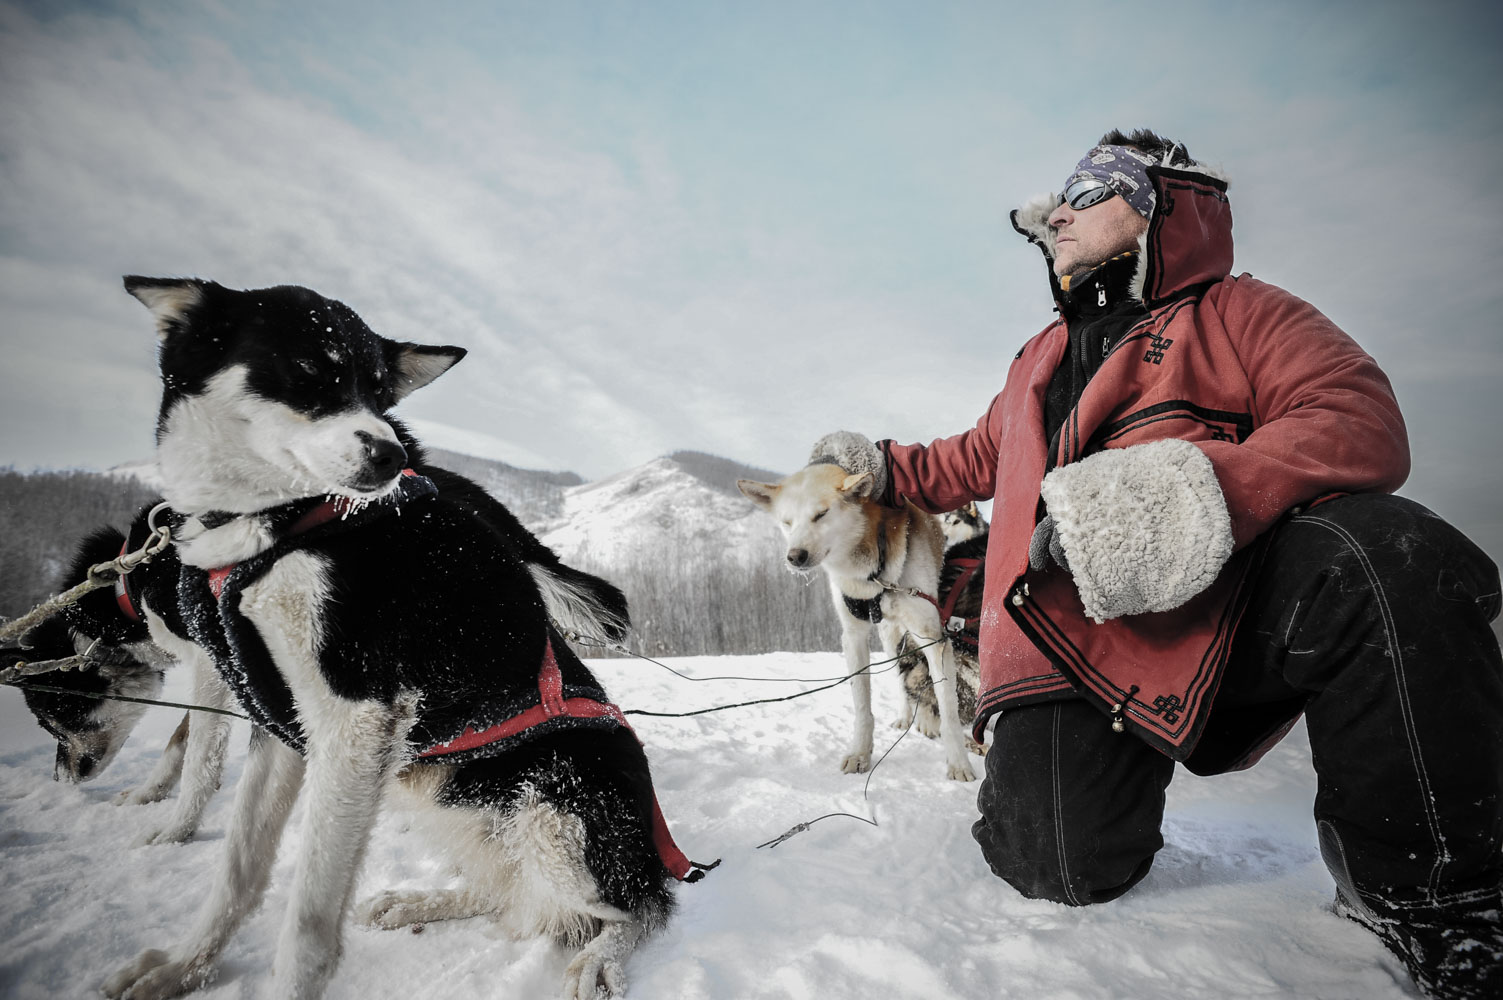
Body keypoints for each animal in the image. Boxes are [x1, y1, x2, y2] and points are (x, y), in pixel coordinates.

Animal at [736, 436, 973, 781]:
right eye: (787, 522)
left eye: (821, 514)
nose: (795, 556)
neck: (868, 573)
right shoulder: (853, 636)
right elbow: (862, 706)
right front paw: (860, 753)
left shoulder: (933, 636)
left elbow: (948, 706)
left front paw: (959, 762)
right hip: (889, 638)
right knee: (899, 677)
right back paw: (906, 716)